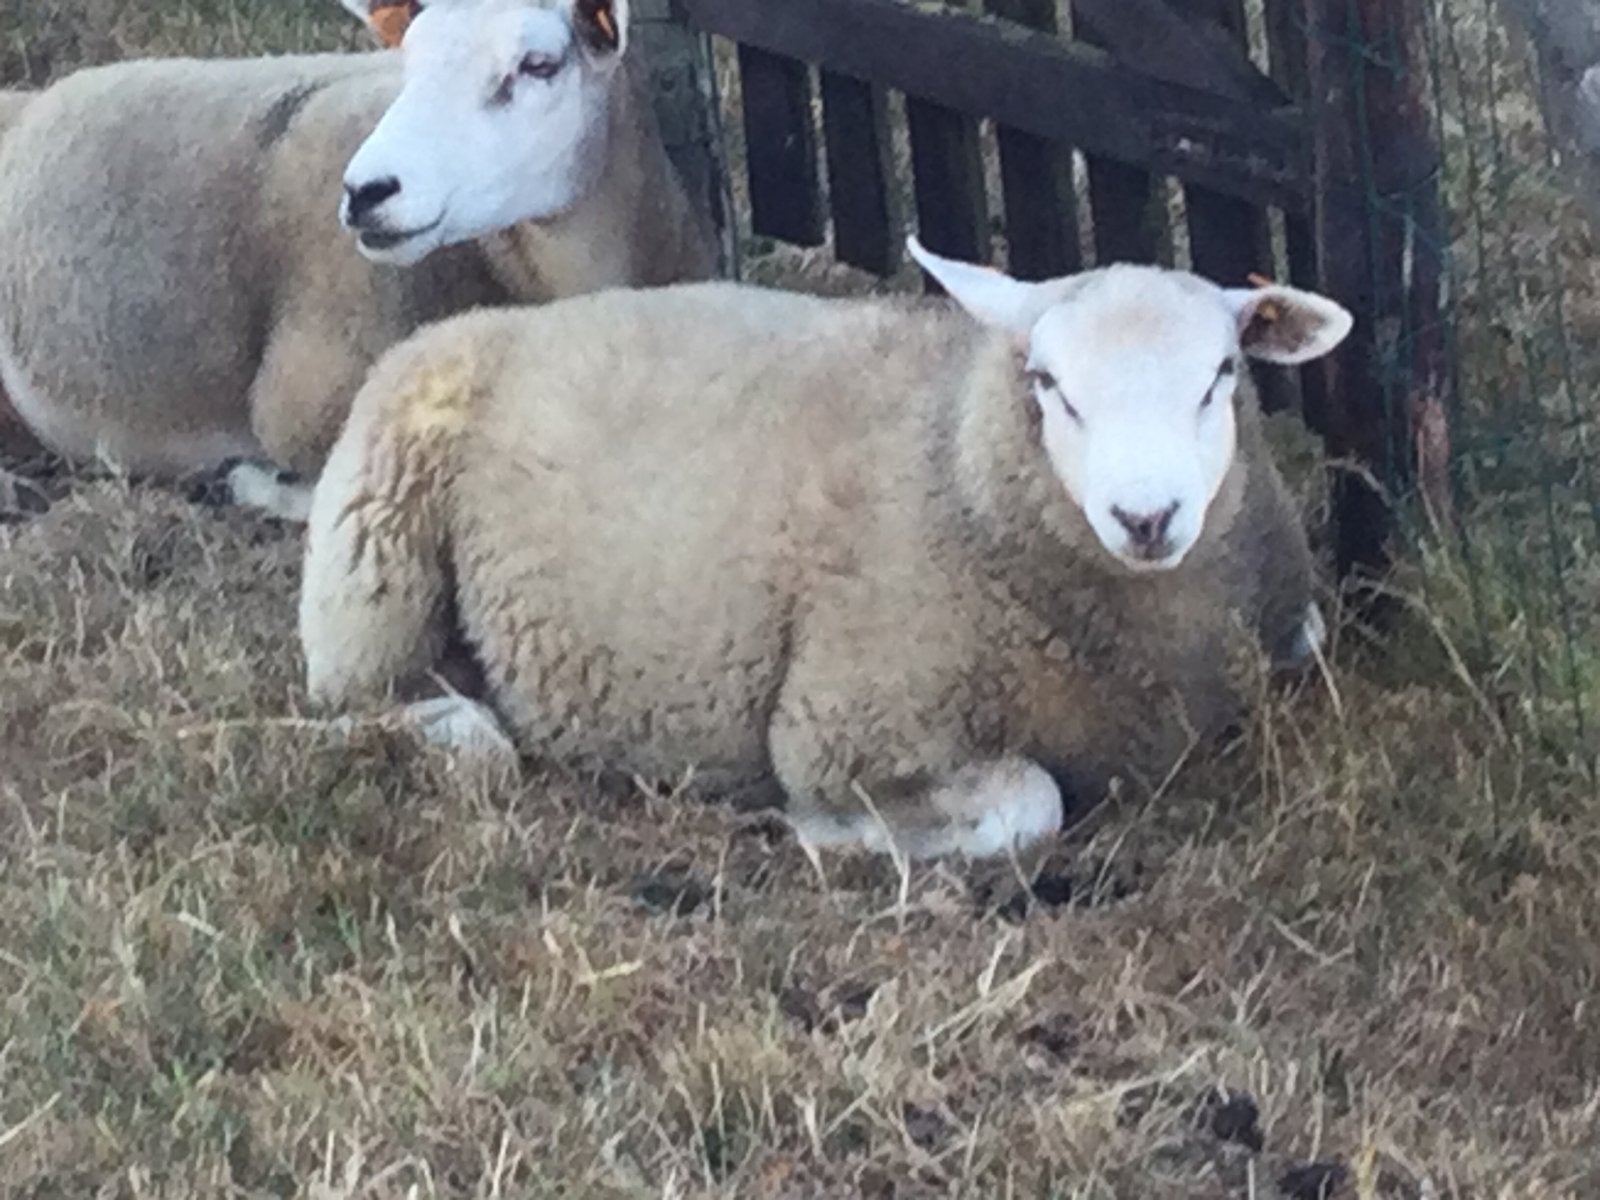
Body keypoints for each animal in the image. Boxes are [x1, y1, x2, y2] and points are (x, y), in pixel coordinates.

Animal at [298, 237, 1352, 860]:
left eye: (1223, 373)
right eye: (1049, 384)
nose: (1147, 516)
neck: (956, 451)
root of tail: (476, 323)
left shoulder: (1284, 627)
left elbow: (1310, 635)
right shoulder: (844, 724)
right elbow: (1029, 805)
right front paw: (828, 829)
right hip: (369, 570)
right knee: (366, 705)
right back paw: (465, 727)